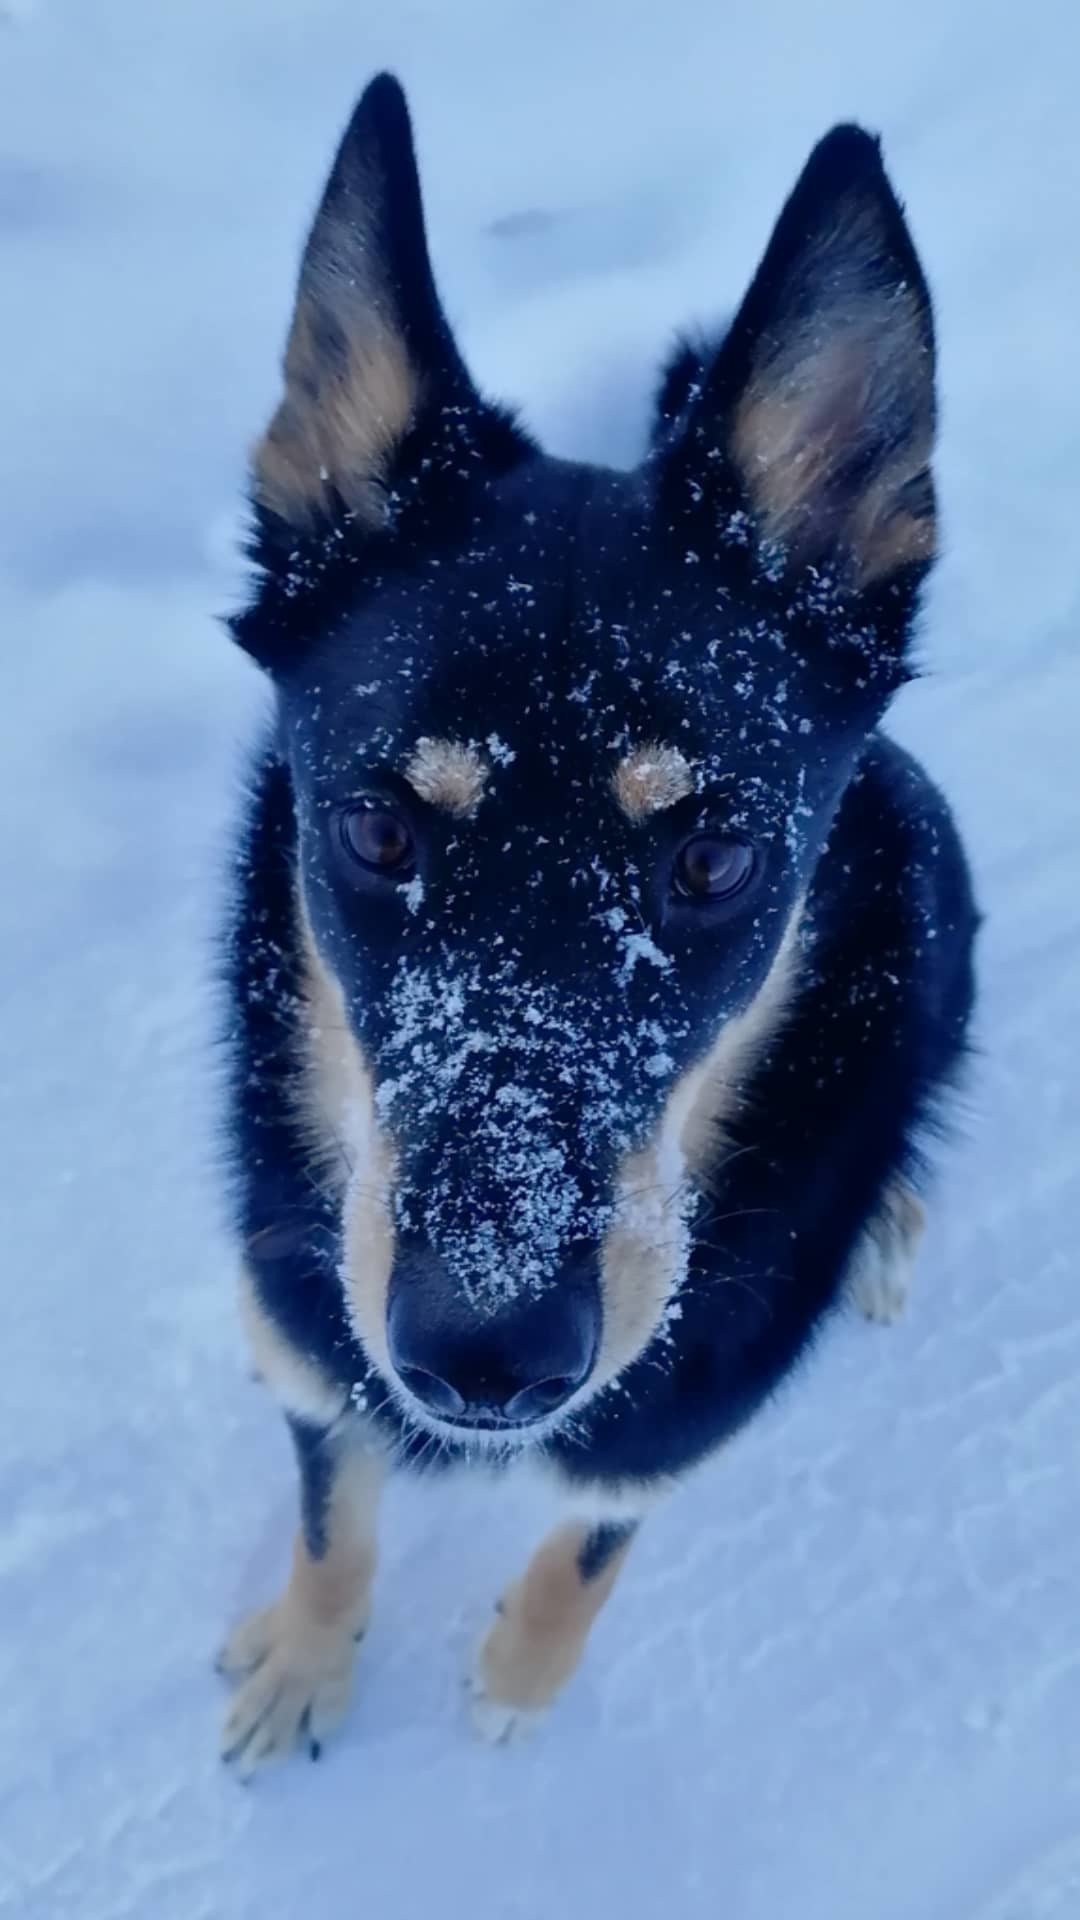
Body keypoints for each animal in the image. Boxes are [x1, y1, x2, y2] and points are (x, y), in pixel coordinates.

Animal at [216, 78, 976, 1781]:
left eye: (712, 857)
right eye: (378, 833)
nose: (485, 1356)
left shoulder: (677, 1413)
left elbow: (589, 1545)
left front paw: (517, 1676)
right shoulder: (308, 1345)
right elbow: (330, 1513)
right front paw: (304, 1658)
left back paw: (892, 1225)